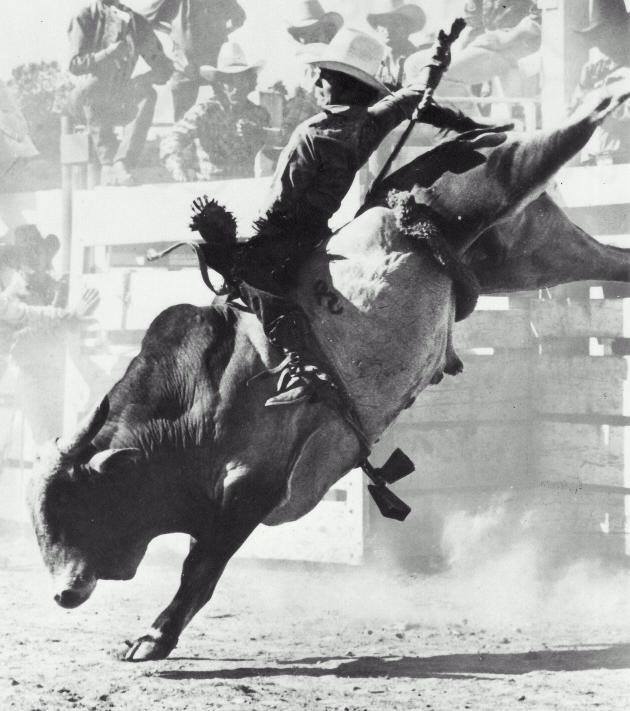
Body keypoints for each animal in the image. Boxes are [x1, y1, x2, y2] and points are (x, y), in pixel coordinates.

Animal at [28, 79, 630, 660]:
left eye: (72, 506)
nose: (61, 594)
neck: (195, 405)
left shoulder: (252, 488)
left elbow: (200, 571)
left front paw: (153, 639)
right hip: (533, 254)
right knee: (612, 258)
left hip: (503, 182)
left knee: (555, 141)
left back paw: (604, 97)